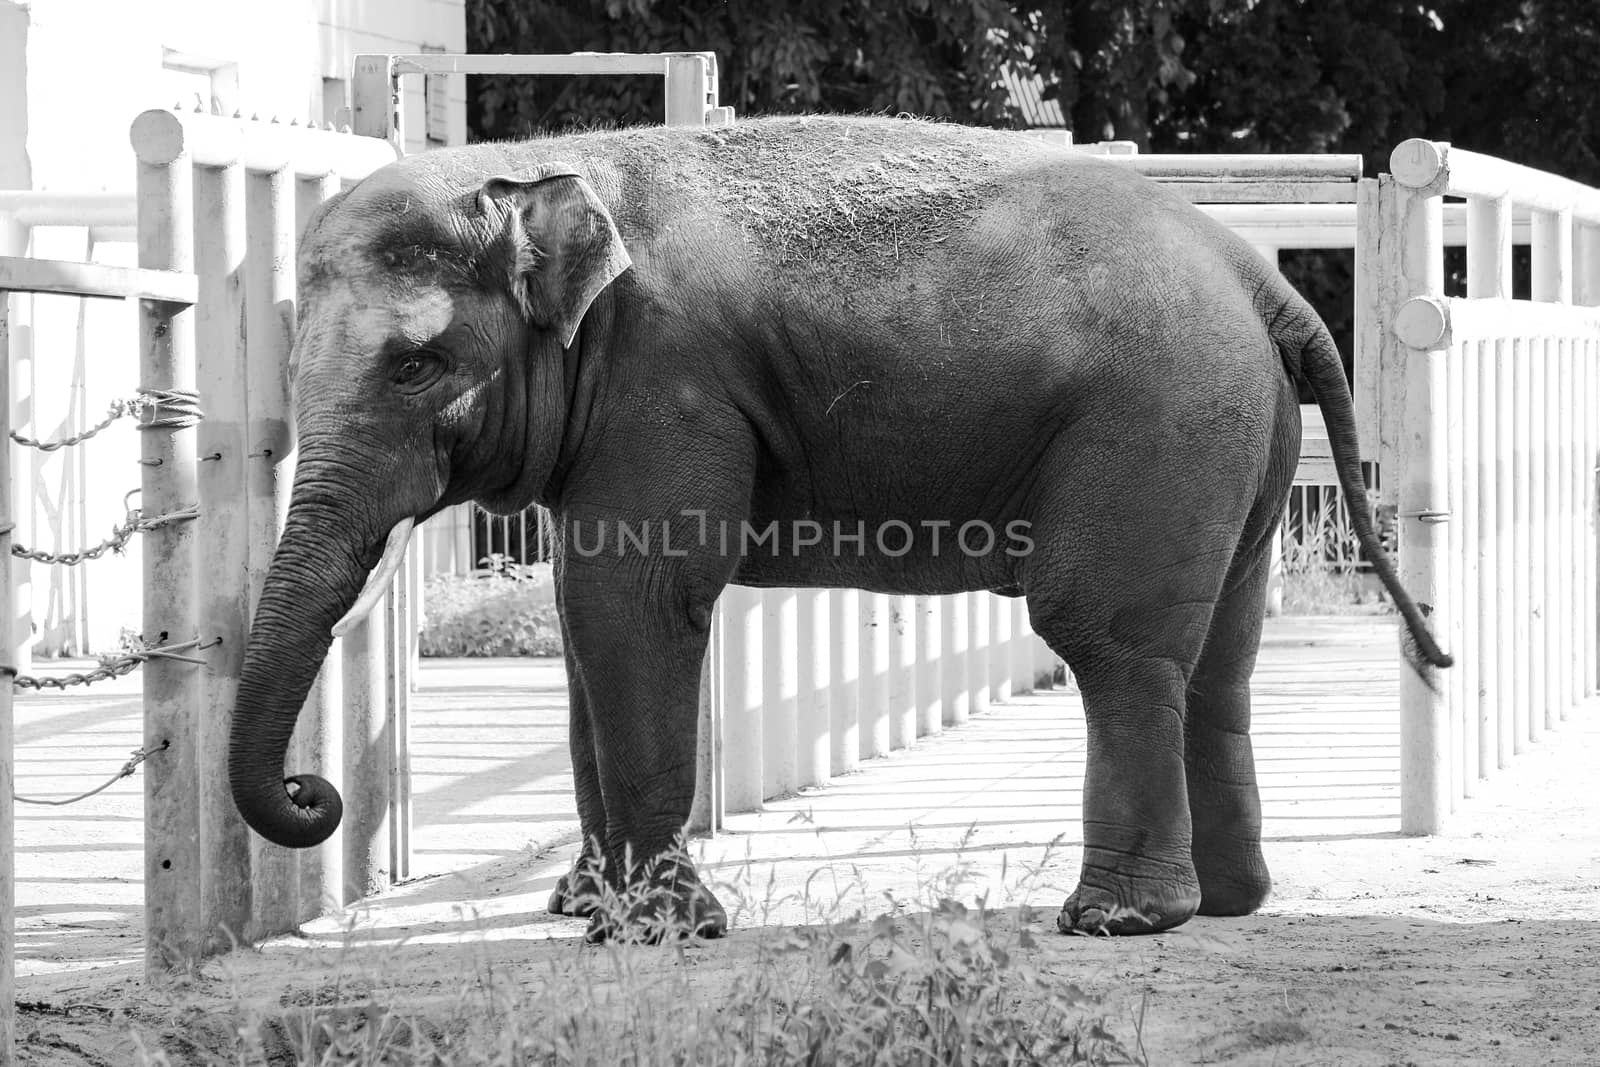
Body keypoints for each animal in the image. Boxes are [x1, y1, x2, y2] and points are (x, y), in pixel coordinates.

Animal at [225, 110, 1452, 940]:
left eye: (415, 363)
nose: (313, 794)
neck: (549, 166)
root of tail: (1262, 279)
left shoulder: (665, 385)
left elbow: (635, 602)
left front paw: (661, 932)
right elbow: (584, 623)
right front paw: (585, 906)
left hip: (1157, 418)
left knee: (1110, 638)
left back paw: (1113, 920)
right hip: (1234, 435)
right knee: (1220, 656)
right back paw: (1230, 902)